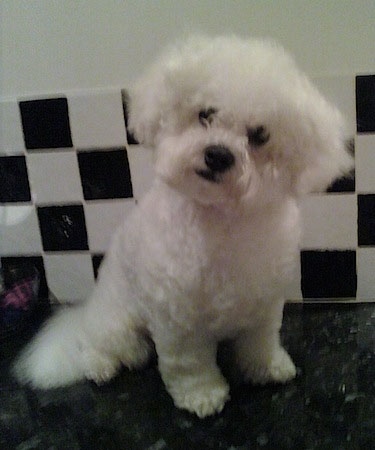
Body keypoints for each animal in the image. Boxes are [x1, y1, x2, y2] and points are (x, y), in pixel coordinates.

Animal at [13, 35, 352, 418]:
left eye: (259, 135)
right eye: (205, 114)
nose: (218, 154)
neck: (221, 221)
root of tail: (86, 313)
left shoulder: (262, 306)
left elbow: (260, 344)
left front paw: (267, 369)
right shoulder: (179, 321)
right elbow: (189, 366)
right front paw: (202, 395)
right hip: (116, 321)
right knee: (97, 344)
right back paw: (101, 365)